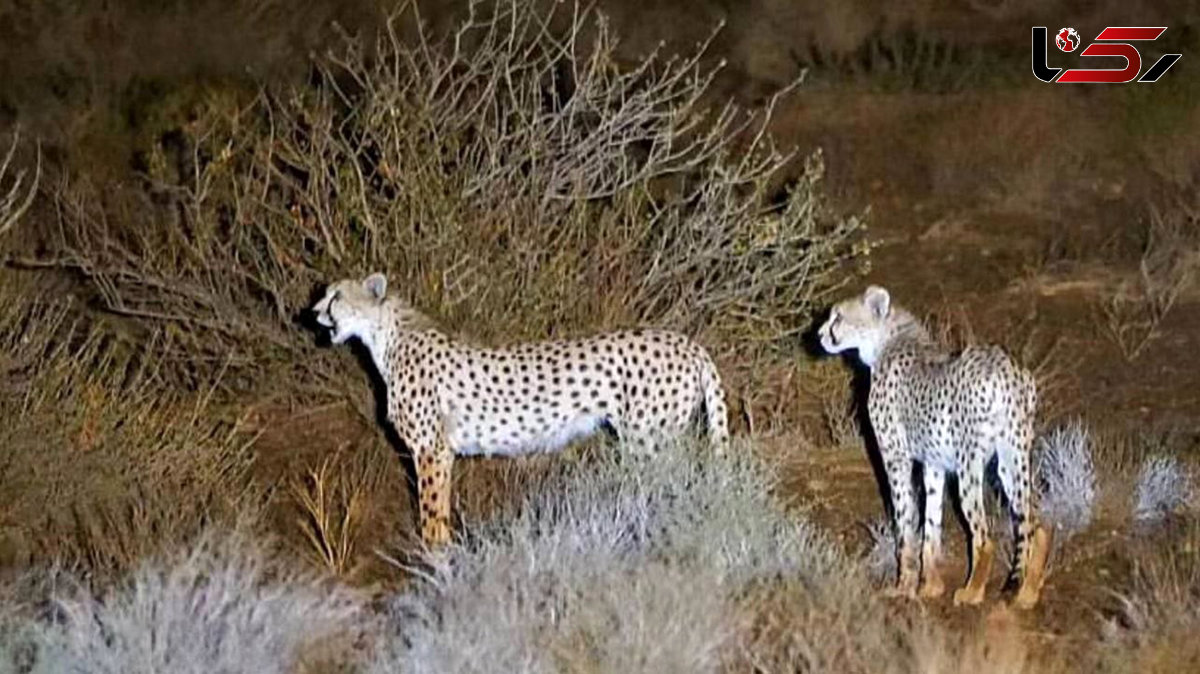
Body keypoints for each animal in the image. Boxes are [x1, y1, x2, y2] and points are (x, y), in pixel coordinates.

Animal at [309, 269, 729, 542]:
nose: (313, 312)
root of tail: (686, 342)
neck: (386, 337)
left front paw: (434, 566)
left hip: (648, 441)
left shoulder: (431, 450)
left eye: (337, 297)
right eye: (325, 294)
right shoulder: (439, 452)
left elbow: (432, 517)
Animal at [816, 284, 1051, 609]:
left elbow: (905, 524)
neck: (886, 339)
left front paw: (903, 586)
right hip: (1011, 459)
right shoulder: (933, 464)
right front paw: (930, 586)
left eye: (838, 317)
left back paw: (972, 592)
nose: (820, 334)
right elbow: (931, 524)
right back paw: (1027, 593)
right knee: (1033, 524)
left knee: (984, 537)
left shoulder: (896, 458)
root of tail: (1003, 366)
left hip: (970, 466)